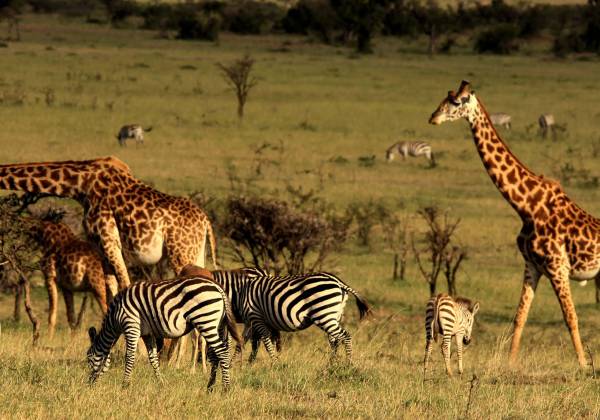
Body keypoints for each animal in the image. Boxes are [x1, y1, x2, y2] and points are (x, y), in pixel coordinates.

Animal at [0, 156, 219, 290]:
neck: (80, 185)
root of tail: (206, 222)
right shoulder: (100, 247)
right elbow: (111, 287)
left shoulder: (108, 240)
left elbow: (125, 285)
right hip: (196, 252)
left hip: (180, 254)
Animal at [28, 212, 120, 340]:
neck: (44, 235)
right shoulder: (66, 286)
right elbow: (71, 316)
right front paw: (72, 341)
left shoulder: (49, 277)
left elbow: (52, 313)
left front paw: (48, 339)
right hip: (111, 286)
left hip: (98, 286)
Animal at [86, 276, 241, 390]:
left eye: (88, 358)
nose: (88, 385)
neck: (115, 317)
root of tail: (218, 287)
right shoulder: (147, 334)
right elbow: (153, 359)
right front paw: (162, 383)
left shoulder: (131, 326)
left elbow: (129, 357)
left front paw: (125, 385)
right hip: (217, 325)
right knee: (216, 356)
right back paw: (210, 387)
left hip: (205, 321)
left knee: (222, 353)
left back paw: (226, 388)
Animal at [192, 268, 370, 362]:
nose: (202, 361)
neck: (241, 292)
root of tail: (339, 282)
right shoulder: (250, 320)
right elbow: (243, 341)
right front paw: (236, 363)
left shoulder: (256, 316)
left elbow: (264, 340)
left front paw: (274, 363)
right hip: (333, 315)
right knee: (335, 340)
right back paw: (332, 364)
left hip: (324, 314)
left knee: (345, 336)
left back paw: (347, 364)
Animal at [428, 79, 596, 368]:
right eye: (445, 97)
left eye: (456, 102)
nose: (433, 117)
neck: (526, 206)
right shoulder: (532, 265)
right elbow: (520, 317)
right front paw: (509, 363)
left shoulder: (558, 267)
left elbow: (570, 317)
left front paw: (584, 365)